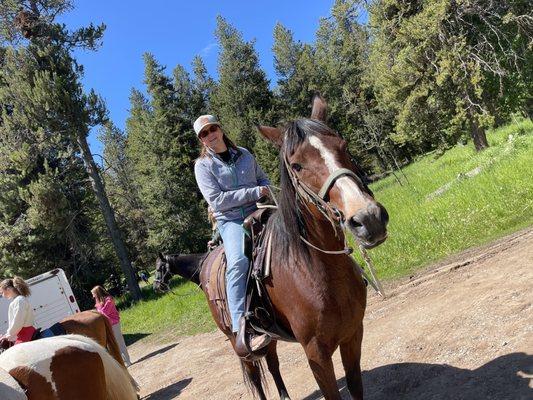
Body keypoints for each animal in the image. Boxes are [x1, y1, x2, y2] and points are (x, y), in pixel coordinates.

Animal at [154, 97, 386, 400]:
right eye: (296, 165)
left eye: (343, 145)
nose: (368, 218)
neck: (317, 269)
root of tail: (206, 264)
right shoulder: (316, 353)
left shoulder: (353, 335)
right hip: (235, 340)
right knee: (253, 372)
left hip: (271, 336)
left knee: (272, 362)